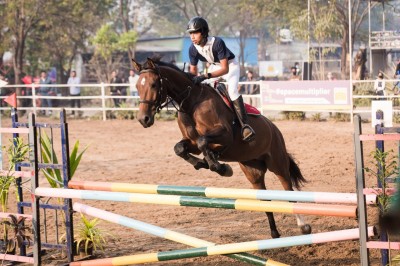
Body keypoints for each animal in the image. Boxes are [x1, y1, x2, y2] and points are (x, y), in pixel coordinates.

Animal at [132, 57, 312, 238]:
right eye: (137, 86)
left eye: (154, 84)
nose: (143, 119)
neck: (191, 103)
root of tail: (274, 128)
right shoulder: (191, 143)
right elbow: (180, 148)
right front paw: (204, 163)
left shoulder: (225, 136)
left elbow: (203, 141)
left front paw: (221, 168)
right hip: (252, 171)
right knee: (264, 200)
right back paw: (274, 233)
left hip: (277, 163)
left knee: (289, 190)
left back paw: (303, 227)